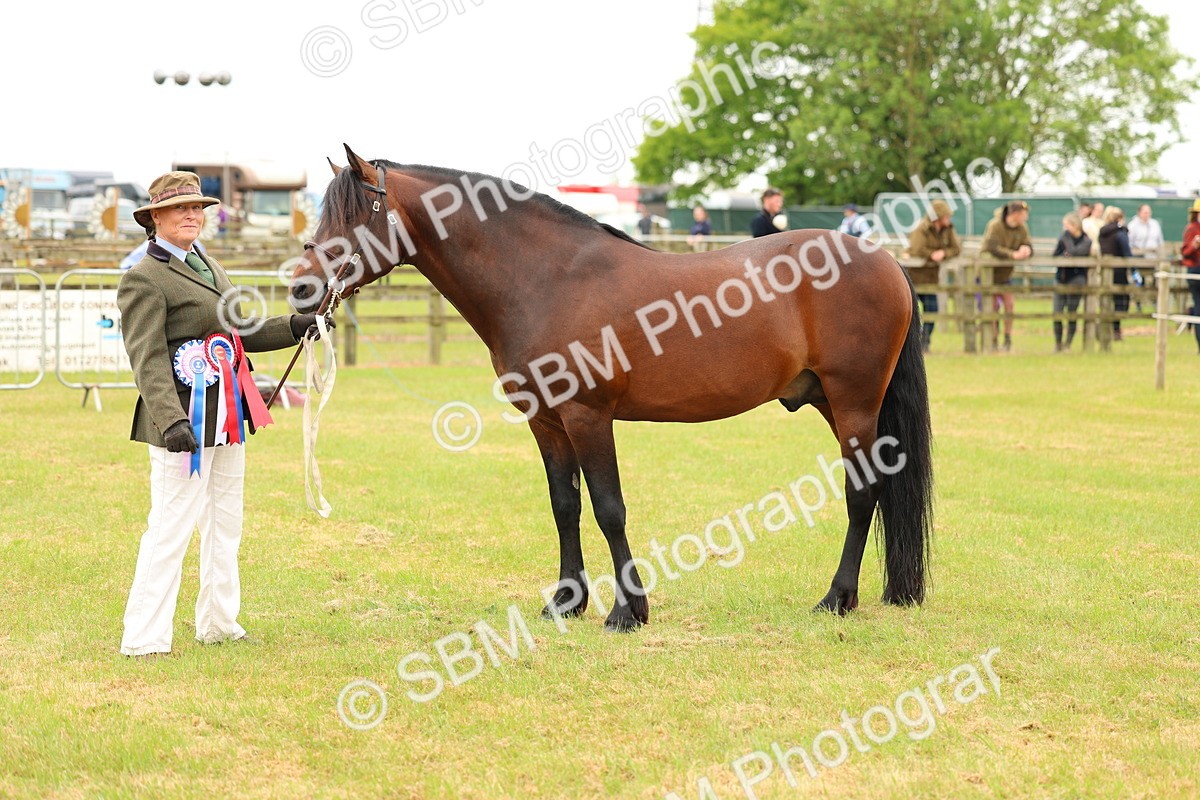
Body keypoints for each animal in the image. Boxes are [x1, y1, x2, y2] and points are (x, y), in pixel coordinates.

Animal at [288, 144, 933, 631]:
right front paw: (565, 602)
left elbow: (608, 508)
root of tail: (885, 259)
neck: (544, 278)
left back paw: (836, 599)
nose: (300, 290)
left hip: (853, 402)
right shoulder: (545, 419)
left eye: (354, 214)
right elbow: (566, 505)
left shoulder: (587, 415)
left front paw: (628, 611)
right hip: (829, 401)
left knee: (862, 492)